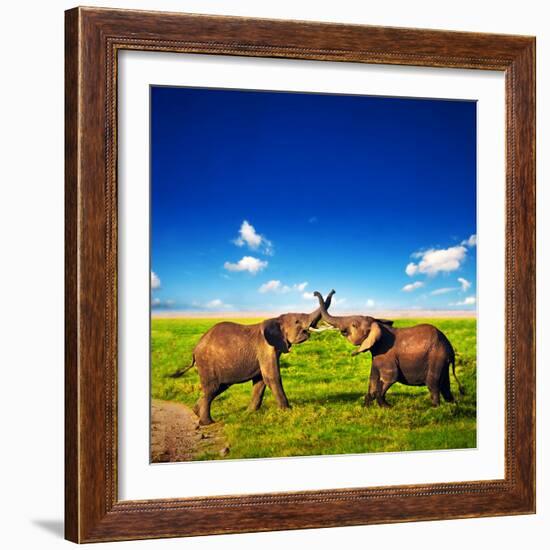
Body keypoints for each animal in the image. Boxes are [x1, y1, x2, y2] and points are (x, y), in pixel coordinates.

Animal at [170, 294, 336, 426]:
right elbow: (272, 377)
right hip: (207, 363)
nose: (316, 292)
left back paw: (196, 411)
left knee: (218, 388)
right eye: (297, 321)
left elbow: (260, 381)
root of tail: (195, 349)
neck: (277, 319)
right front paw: (287, 411)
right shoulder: (265, 348)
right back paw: (208, 422)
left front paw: (249, 413)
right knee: (212, 388)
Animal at [312, 292, 464, 408]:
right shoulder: (376, 356)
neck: (377, 324)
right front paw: (366, 406)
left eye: (354, 325)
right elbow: (373, 378)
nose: (314, 293)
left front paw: (386, 407)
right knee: (445, 385)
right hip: (442, 361)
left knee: (433, 384)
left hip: (436, 357)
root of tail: (450, 348)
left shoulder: (387, 355)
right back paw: (452, 405)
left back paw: (435, 408)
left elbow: (390, 377)